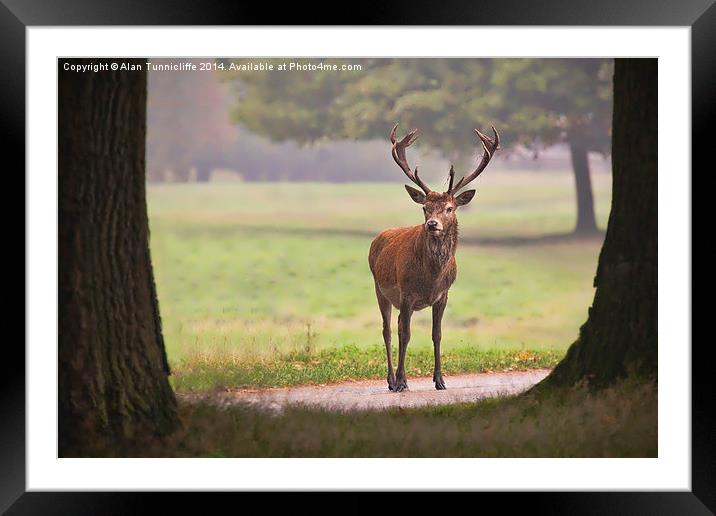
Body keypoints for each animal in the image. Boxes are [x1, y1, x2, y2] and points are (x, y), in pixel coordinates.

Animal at [370, 123, 498, 394]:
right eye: (425, 207)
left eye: (450, 208)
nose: (432, 224)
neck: (431, 278)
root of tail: (378, 238)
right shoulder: (406, 292)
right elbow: (406, 334)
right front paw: (402, 381)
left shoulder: (443, 295)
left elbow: (436, 334)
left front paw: (440, 380)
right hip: (380, 288)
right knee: (389, 330)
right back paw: (391, 380)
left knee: (397, 325)